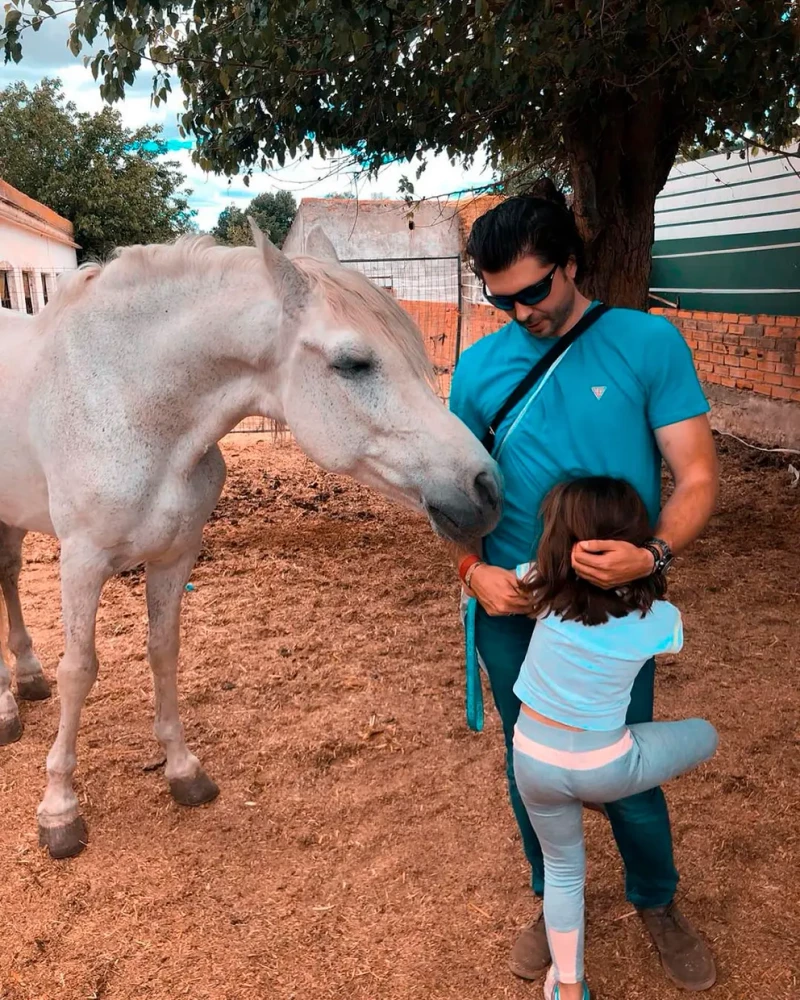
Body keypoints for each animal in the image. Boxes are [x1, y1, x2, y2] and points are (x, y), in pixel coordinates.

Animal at [0, 225, 500, 860]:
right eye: (354, 363)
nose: (486, 488)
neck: (127, 400)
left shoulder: (175, 555)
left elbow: (163, 651)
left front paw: (182, 769)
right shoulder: (81, 562)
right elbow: (79, 671)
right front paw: (59, 807)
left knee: (8, 576)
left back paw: (25, 678)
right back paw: (7, 706)